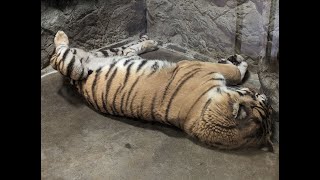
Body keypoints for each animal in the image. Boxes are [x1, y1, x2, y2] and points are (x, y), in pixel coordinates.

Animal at [48, 30, 274, 152]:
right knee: (57, 56)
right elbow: (234, 72)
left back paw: (149, 41)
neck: (202, 111)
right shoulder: (205, 68)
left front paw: (236, 60)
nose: (267, 97)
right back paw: (60, 35)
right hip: (75, 67)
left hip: (101, 61)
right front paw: (238, 60)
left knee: (127, 49)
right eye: (260, 98)